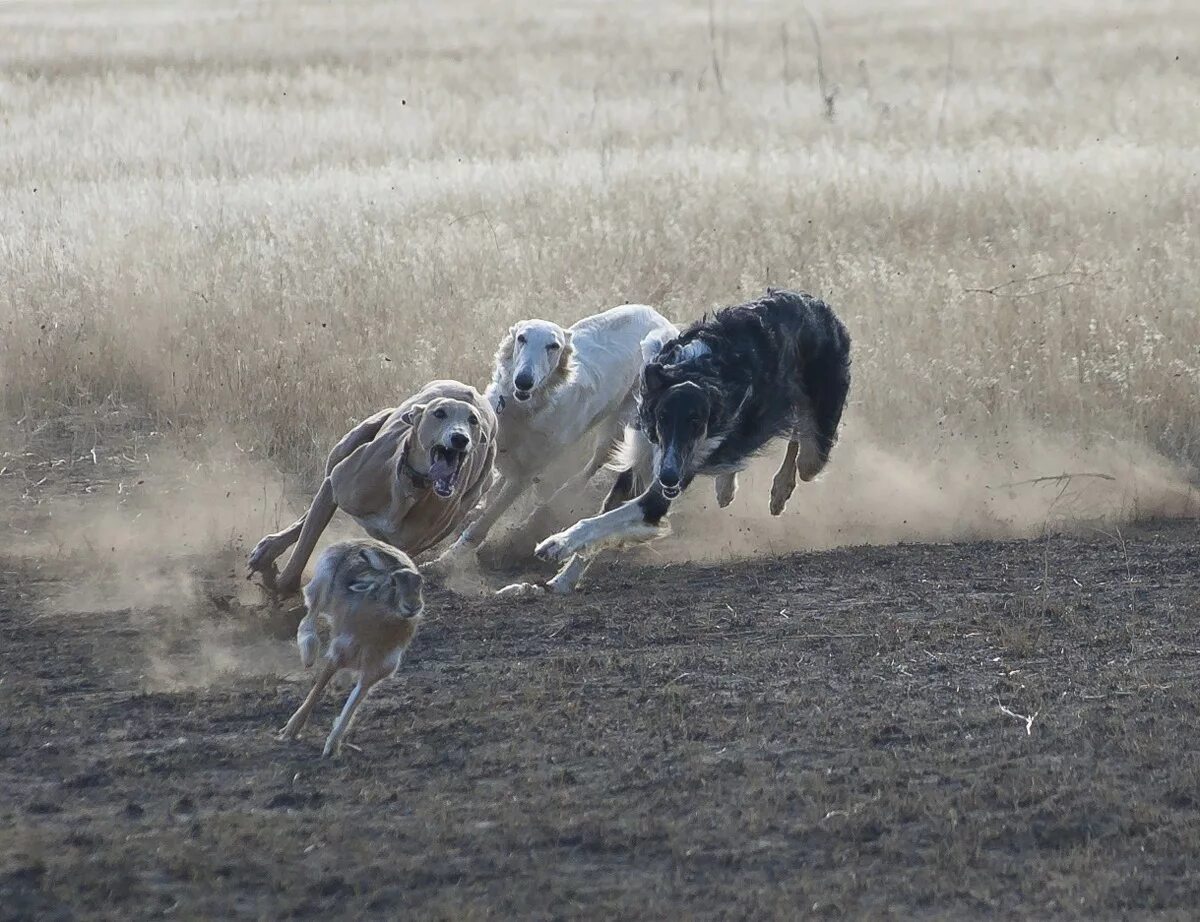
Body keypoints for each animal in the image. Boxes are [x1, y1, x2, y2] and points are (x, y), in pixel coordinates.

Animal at [248, 379, 496, 595]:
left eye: (473, 420)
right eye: (439, 413)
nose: (460, 438)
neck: (408, 488)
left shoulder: (405, 547)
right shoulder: (336, 485)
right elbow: (304, 546)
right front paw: (283, 587)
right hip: (349, 444)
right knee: (312, 509)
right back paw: (269, 548)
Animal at [276, 540, 427, 758]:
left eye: (420, 583)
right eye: (393, 583)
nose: (413, 606)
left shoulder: (375, 671)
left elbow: (352, 705)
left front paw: (332, 747)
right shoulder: (339, 653)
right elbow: (317, 688)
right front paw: (291, 729)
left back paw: (340, 681)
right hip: (323, 581)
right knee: (310, 614)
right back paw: (309, 651)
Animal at [530, 290, 849, 590]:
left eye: (696, 423)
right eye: (662, 418)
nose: (670, 477)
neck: (696, 370)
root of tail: (816, 304)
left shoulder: (660, 493)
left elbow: (599, 522)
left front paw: (557, 544)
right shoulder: (644, 458)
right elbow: (604, 517)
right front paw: (564, 580)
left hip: (813, 445)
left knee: (802, 443)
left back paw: (780, 489)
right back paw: (728, 486)